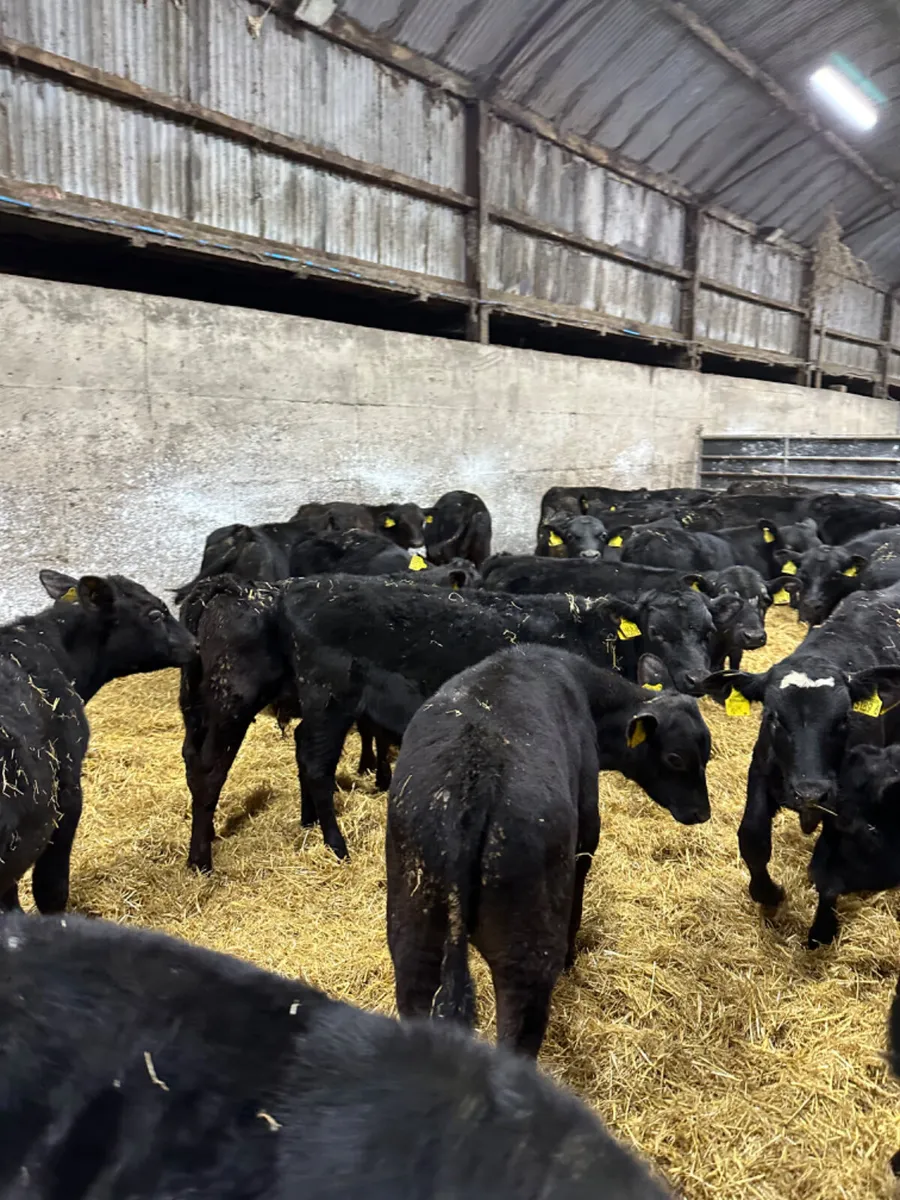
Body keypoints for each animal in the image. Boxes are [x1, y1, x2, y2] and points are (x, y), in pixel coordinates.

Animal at [387, 646, 710, 1057]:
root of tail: (473, 778)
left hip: (413, 931)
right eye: (675, 758)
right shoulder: (586, 832)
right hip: (527, 954)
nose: (702, 813)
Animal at [699, 584, 900, 914]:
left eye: (844, 718)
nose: (810, 794)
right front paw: (768, 893)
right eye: (773, 716)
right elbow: (752, 835)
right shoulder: (761, 770)